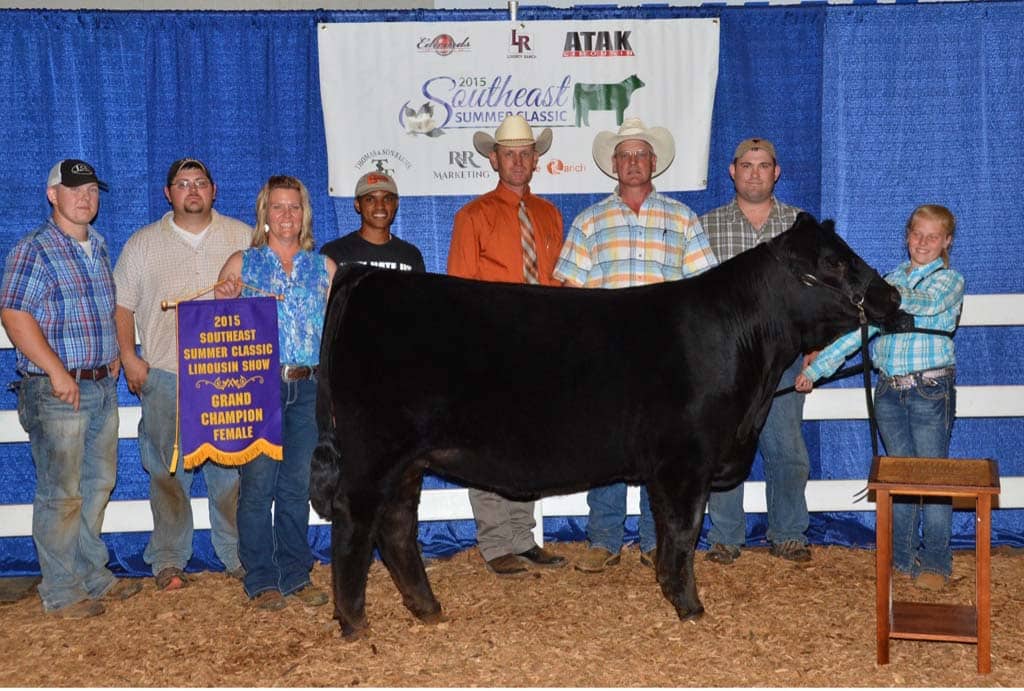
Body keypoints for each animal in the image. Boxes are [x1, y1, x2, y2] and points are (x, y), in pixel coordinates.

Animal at [310, 213, 906, 638]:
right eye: (832, 263)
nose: (892, 296)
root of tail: (367, 278)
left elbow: (669, 531)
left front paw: (669, 587)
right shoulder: (685, 459)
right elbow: (684, 530)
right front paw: (689, 605)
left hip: (409, 459)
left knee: (396, 526)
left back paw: (427, 608)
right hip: (374, 449)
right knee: (356, 519)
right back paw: (354, 621)